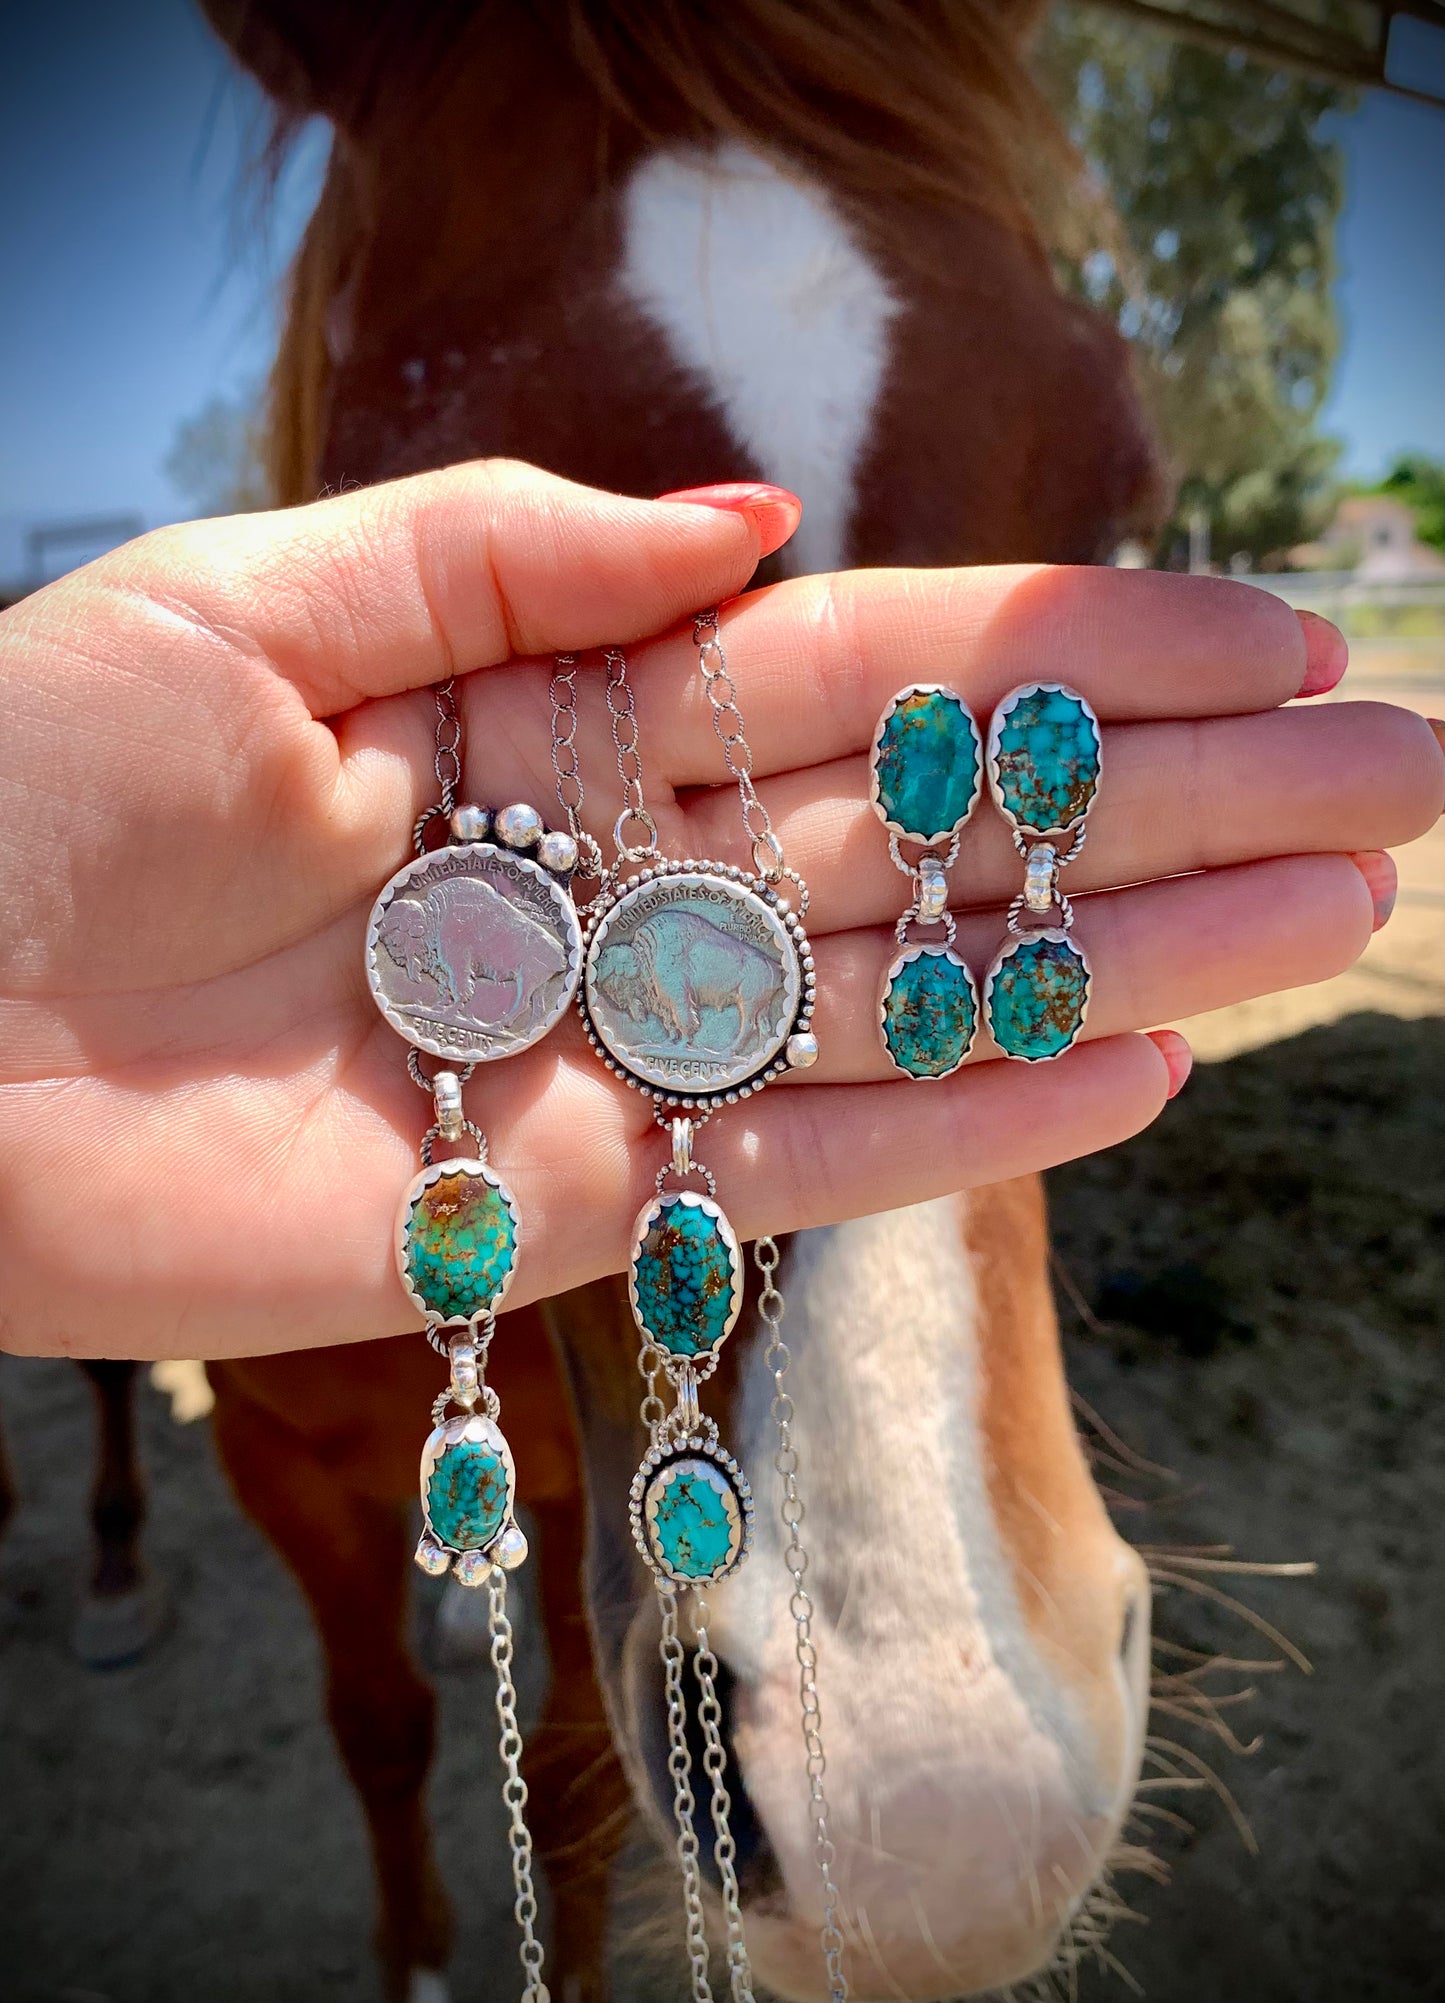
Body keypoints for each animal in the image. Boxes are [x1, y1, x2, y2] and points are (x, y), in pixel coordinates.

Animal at [188, 0, 1170, 1994]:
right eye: (397, 481)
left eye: (1124, 499)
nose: (948, 1828)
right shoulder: (284, 1464)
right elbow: (382, 1723)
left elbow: (561, 1775)